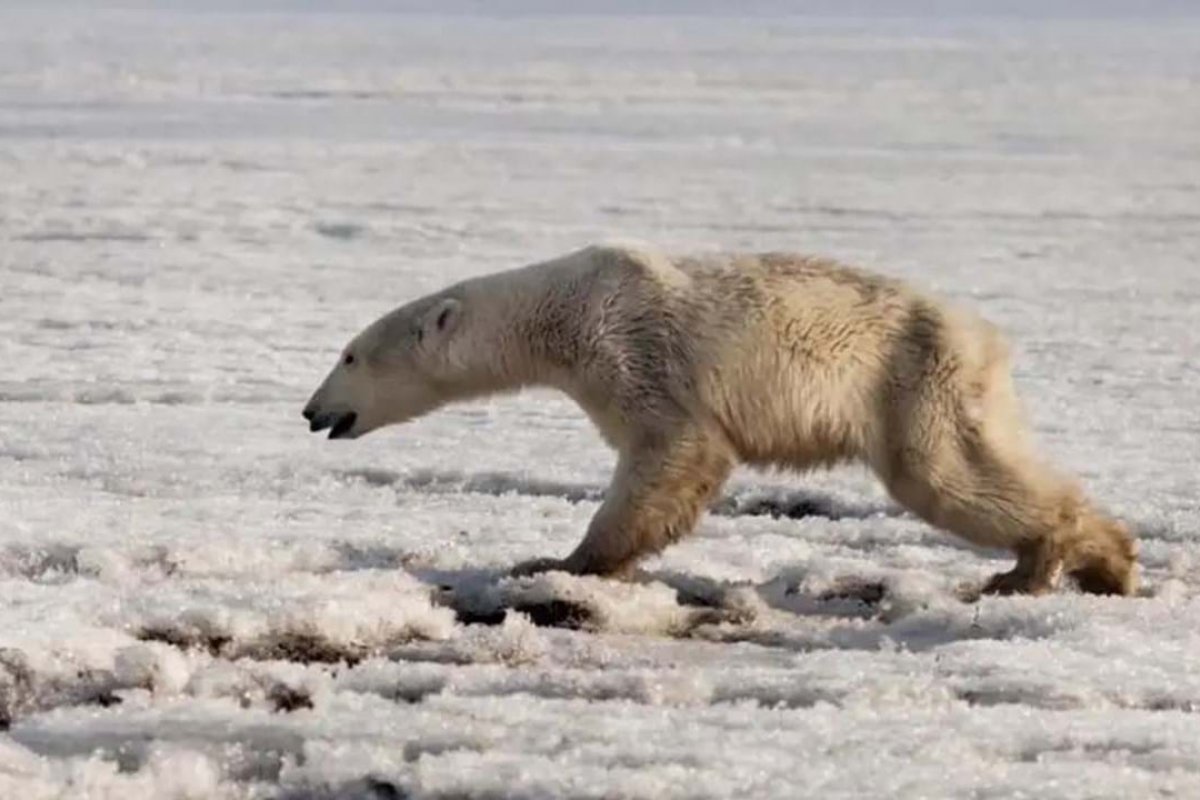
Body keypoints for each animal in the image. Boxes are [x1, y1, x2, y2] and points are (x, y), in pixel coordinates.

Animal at [302, 244, 1137, 596]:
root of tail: (986, 338)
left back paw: (1041, 566)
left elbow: (673, 451)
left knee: (945, 476)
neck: (562, 310)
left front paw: (558, 561)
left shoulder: (633, 347)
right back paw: (1102, 561)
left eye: (348, 354)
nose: (312, 412)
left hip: (912, 379)